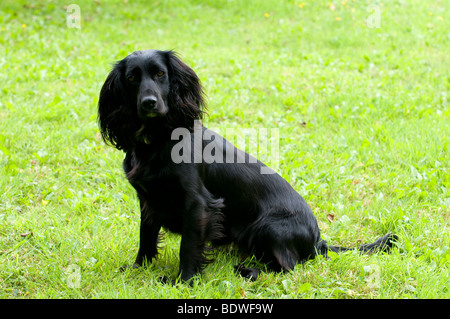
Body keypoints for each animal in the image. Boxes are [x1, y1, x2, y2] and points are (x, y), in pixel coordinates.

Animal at [96, 50, 396, 284]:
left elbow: (188, 246)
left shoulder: (198, 203)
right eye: (132, 78)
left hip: (267, 227)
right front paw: (137, 269)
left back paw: (249, 270)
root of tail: (317, 241)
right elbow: (145, 237)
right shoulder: (147, 199)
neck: (157, 139)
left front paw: (183, 281)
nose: (149, 103)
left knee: (288, 267)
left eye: (160, 74)